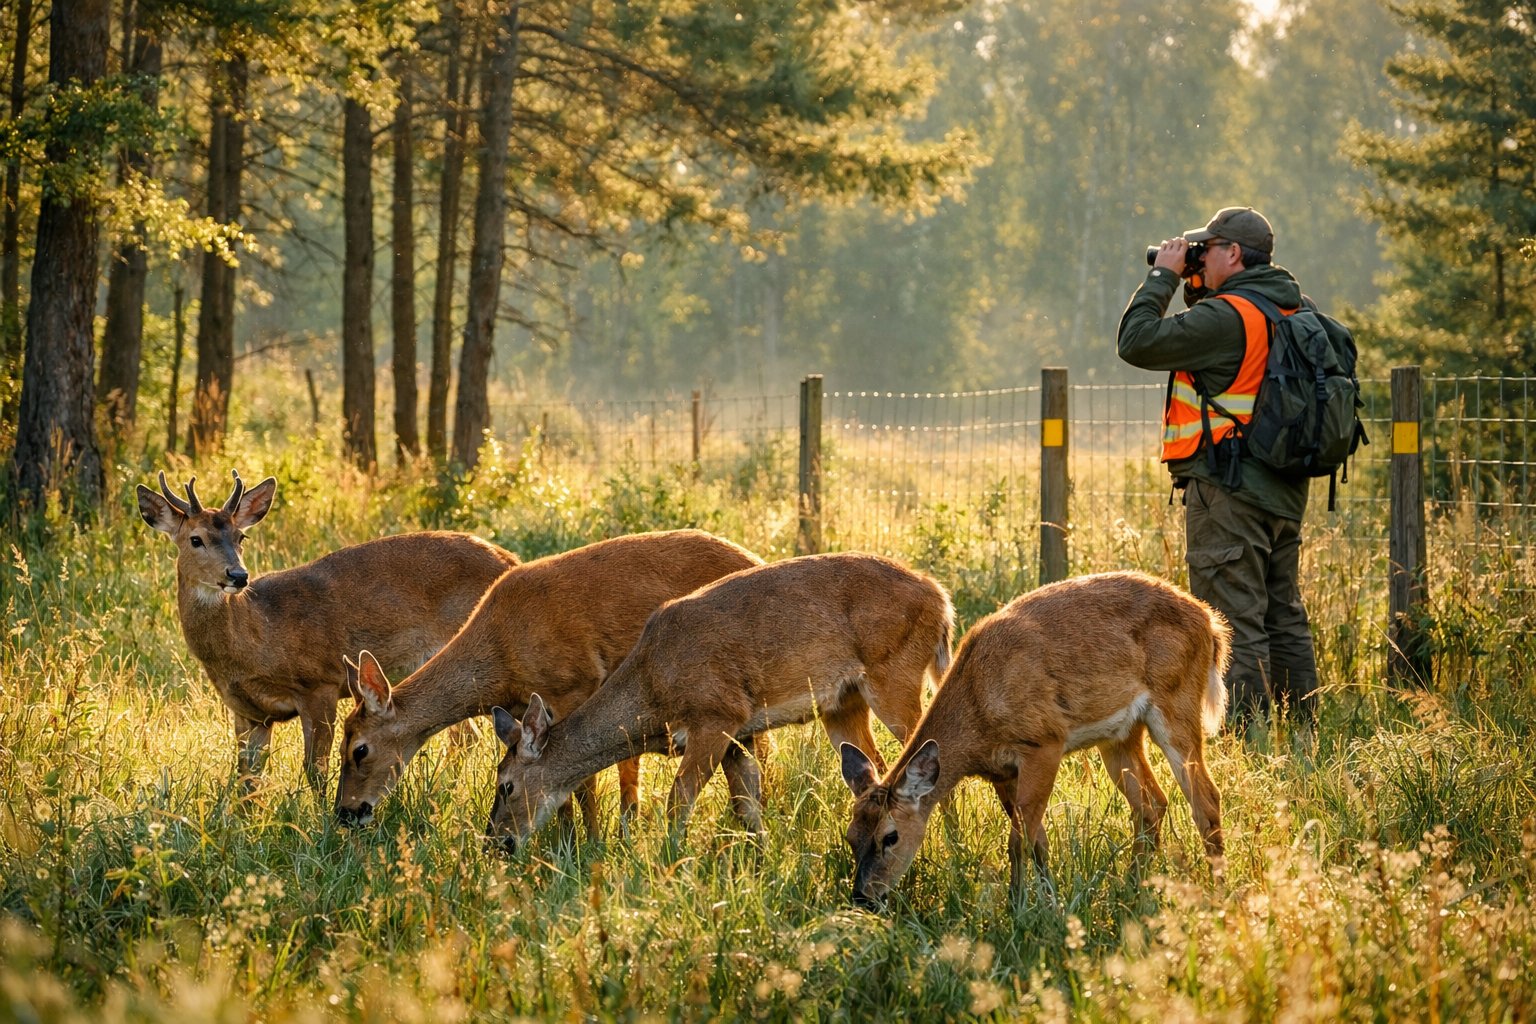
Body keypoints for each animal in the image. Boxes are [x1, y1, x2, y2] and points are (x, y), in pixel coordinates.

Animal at [137, 470, 521, 795]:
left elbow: (315, 770)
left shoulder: (319, 682)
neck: (257, 634)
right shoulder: (248, 711)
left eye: (240, 535)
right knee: (464, 735)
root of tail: (511, 559)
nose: (238, 575)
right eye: (195, 539)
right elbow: (248, 779)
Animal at [333, 530, 764, 834]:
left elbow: (583, 781)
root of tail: (755, 555)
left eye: (359, 750)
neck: (500, 657)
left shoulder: (576, 683)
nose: (345, 812)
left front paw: (585, 844)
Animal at [485, 552, 954, 852]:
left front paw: (667, 865)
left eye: (505, 785)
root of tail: (942, 599)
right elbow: (747, 805)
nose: (495, 842)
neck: (653, 693)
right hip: (843, 704)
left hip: (895, 675)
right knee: (877, 763)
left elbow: (679, 801)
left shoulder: (717, 714)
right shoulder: (740, 734)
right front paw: (762, 863)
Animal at [839, 570, 1231, 909]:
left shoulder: (1044, 742)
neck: (977, 709)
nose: (863, 898)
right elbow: (1038, 840)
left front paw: (1018, 908)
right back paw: (1133, 888)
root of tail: (1210, 623)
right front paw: (1050, 902)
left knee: (1205, 798)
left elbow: (1018, 840)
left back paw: (1218, 895)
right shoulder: (1002, 771)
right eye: (851, 836)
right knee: (1151, 805)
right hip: (1119, 736)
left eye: (890, 836)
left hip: (1177, 703)